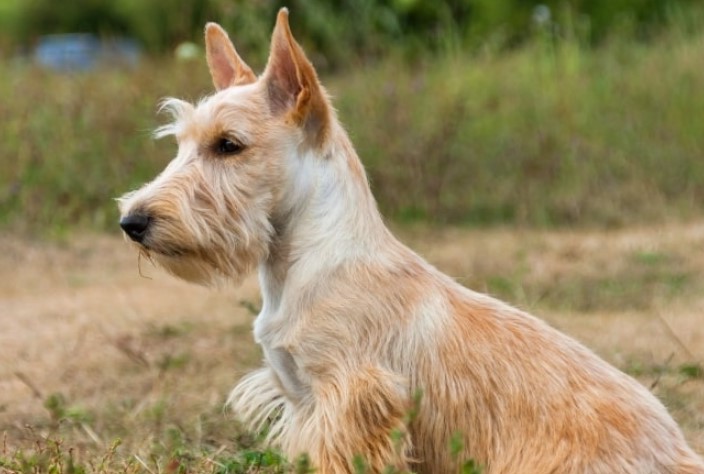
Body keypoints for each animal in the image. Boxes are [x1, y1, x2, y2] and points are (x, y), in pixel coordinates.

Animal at [119, 8, 704, 474]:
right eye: (181, 143)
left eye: (229, 145)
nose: (133, 221)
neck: (307, 264)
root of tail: (680, 455)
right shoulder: (304, 402)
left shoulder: (353, 404)